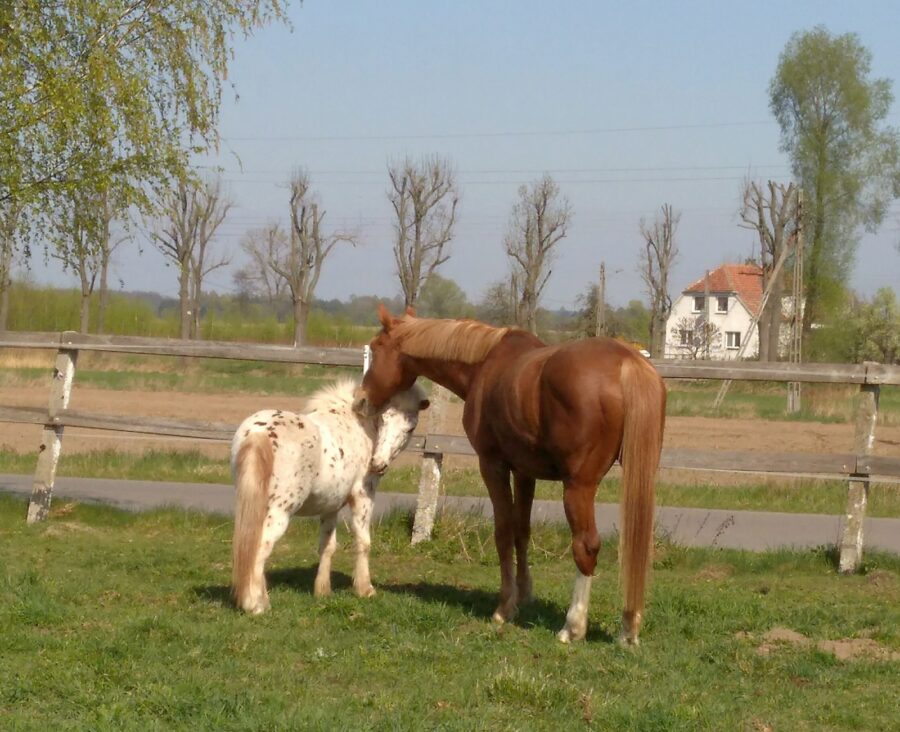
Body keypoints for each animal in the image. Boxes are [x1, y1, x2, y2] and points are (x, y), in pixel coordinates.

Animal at [232, 378, 428, 612]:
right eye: (384, 419)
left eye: (410, 427)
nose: (378, 463)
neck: (360, 427)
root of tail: (259, 434)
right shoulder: (363, 497)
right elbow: (363, 541)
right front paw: (365, 589)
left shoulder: (330, 506)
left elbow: (327, 546)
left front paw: (323, 591)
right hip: (279, 512)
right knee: (260, 548)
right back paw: (256, 605)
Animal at [356, 306, 664, 644]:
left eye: (376, 347)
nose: (360, 400)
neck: (484, 364)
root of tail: (627, 362)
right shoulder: (525, 472)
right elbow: (521, 530)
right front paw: (524, 593)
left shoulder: (493, 465)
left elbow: (503, 532)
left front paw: (505, 607)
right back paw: (628, 628)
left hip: (578, 487)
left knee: (586, 546)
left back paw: (572, 627)